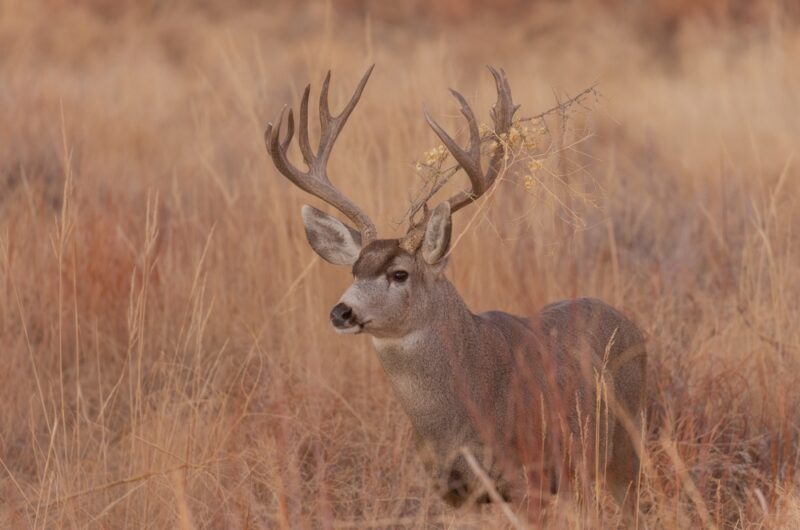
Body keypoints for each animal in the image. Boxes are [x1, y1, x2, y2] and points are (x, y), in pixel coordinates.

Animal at [263, 66, 647, 509]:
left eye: (399, 273)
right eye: (354, 271)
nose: (341, 312)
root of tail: (634, 327)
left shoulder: (528, 476)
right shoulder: (449, 489)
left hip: (624, 452)